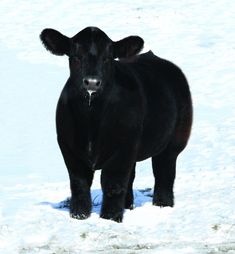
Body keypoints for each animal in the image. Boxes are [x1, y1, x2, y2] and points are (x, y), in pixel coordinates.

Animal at [40, 26, 192, 222]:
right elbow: (79, 182)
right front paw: (79, 215)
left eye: (108, 58)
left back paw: (162, 205)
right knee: (132, 176)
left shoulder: (123, 147)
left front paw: (110, 217)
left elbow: (113, 183)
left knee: (164, 172)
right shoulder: (68, 146)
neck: (92, 119)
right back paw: (128, 206)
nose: (92, 82)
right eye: (75, 56)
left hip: (174, 142)